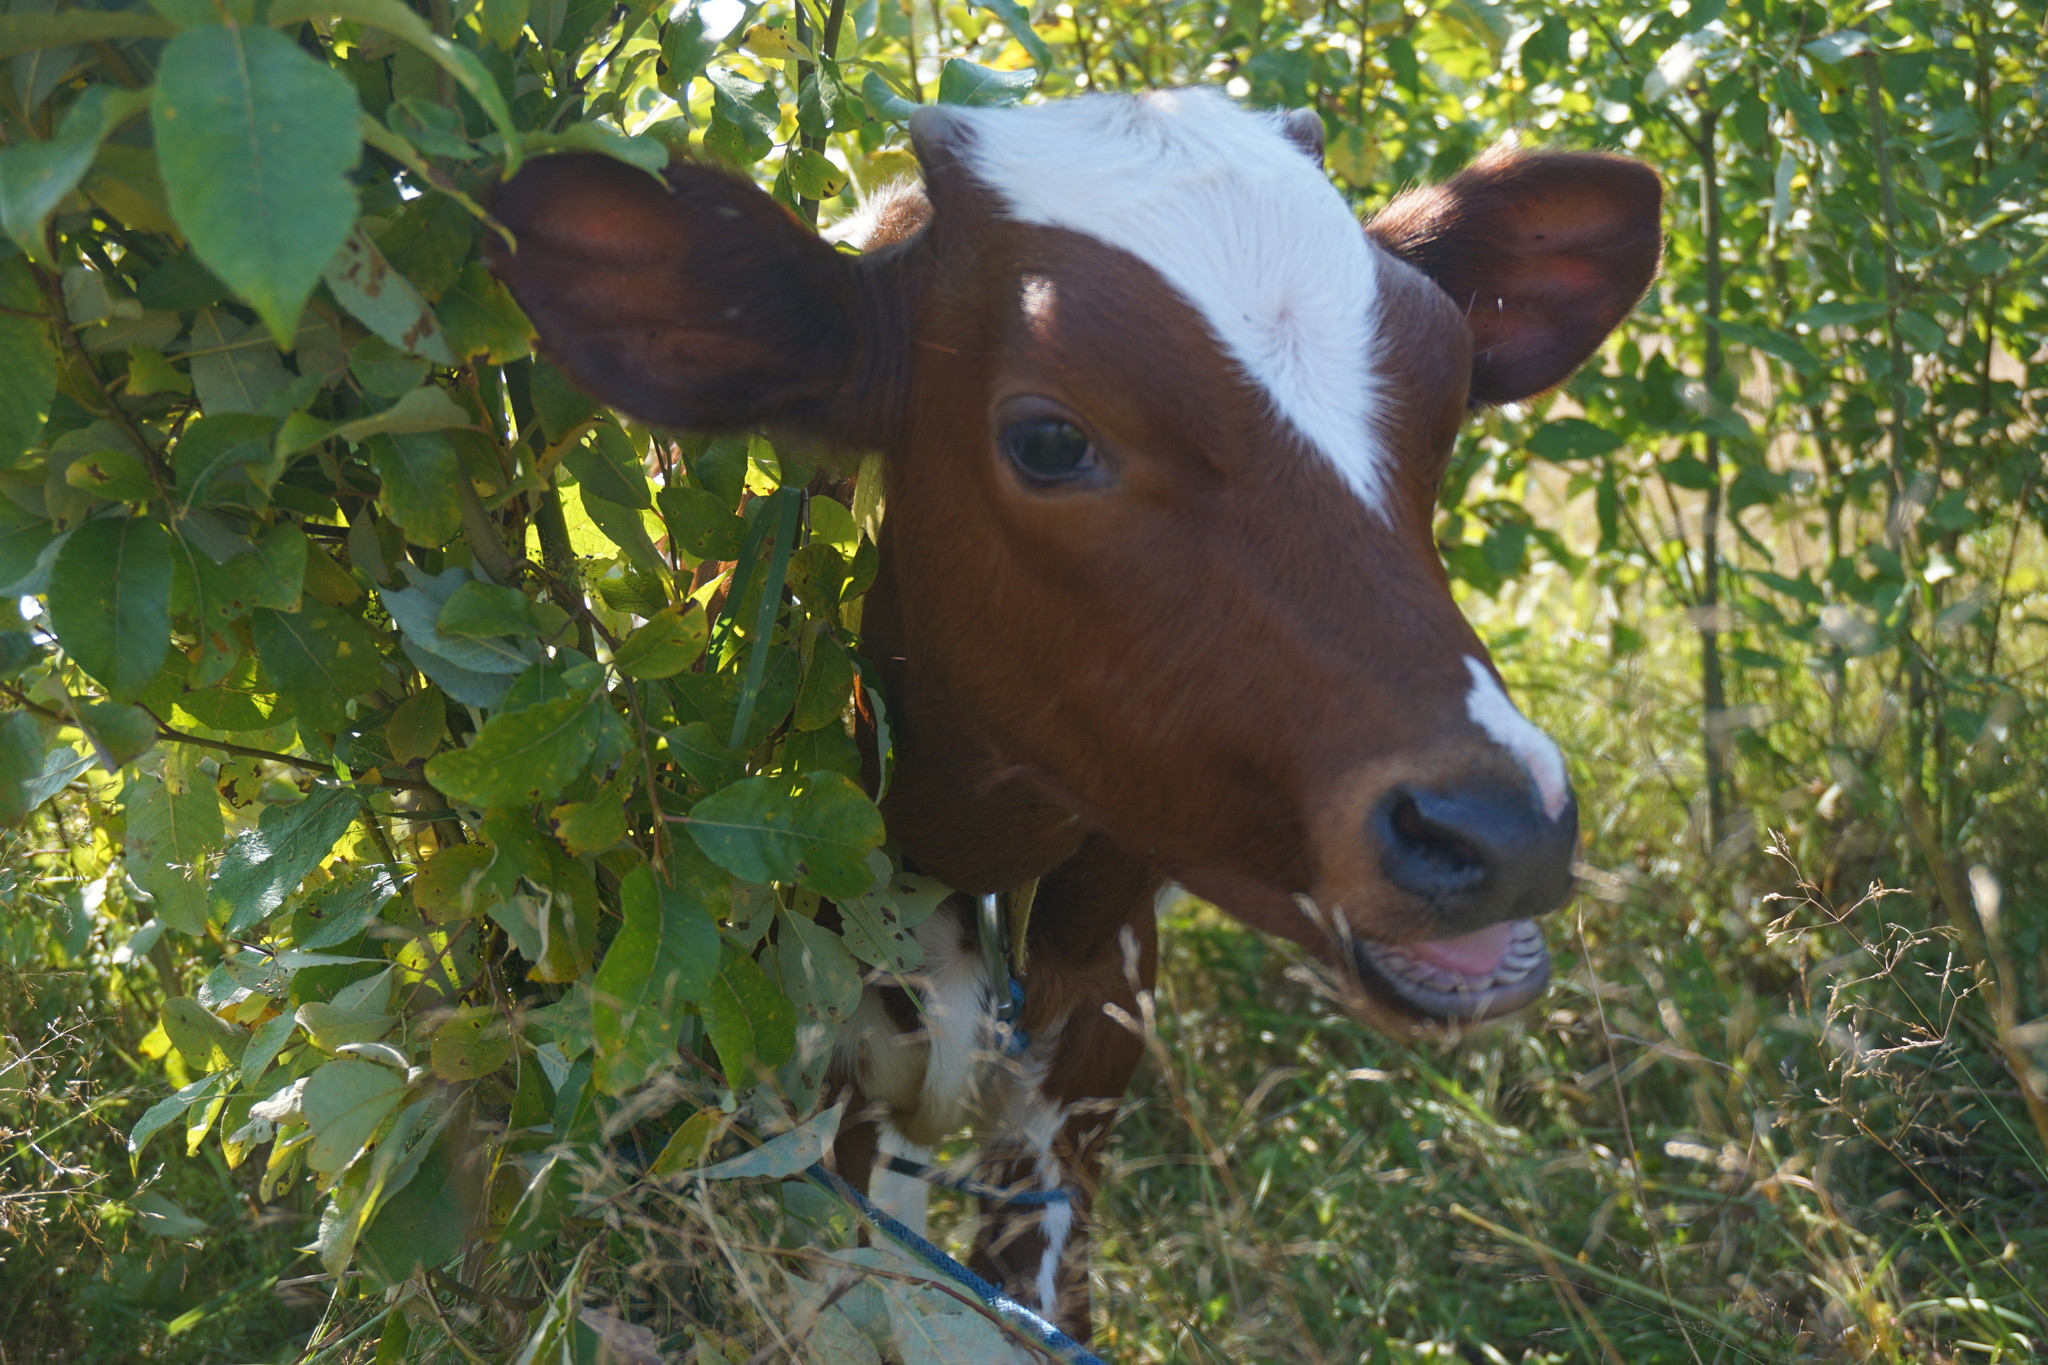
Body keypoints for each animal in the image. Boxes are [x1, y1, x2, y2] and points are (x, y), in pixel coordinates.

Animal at [495, 90, 1662, 1342]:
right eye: (1049, 438)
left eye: (1447, 395)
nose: (1500, 830)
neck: (962, 848)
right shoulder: (807, 1094)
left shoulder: (1095, 1040)